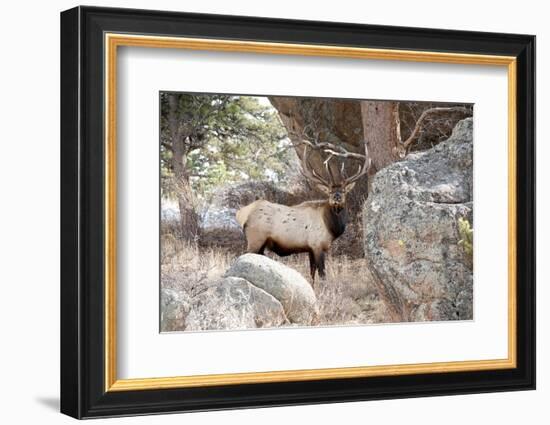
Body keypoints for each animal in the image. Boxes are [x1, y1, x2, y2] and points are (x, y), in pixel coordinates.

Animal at [237, 140, 370, 284]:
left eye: (344, 191)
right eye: (329, 191)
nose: (337, 196)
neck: (331, 227)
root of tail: (242, 214)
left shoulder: (310, 248)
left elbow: (312, 273)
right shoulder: (317, 245)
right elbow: (322, 275)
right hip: (255, 239)